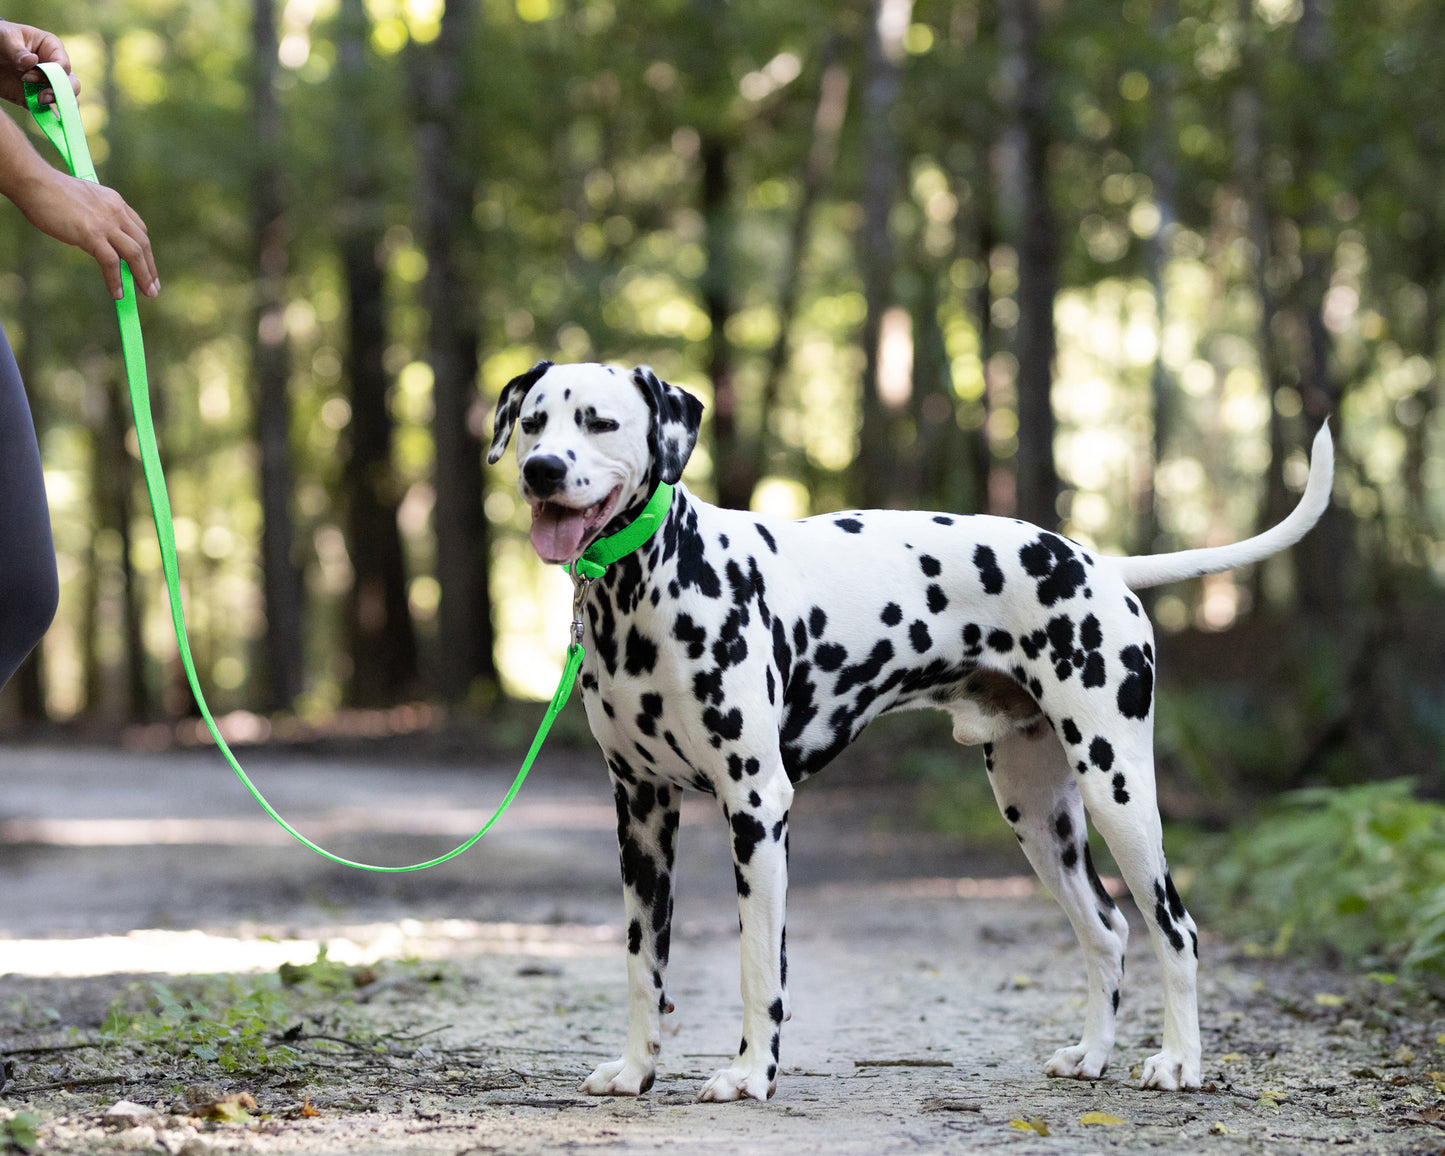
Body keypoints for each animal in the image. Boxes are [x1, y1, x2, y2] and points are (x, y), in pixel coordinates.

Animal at [485, 358, 1329, 1103]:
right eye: (533, 423)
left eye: (599, 421)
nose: (542, 470)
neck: (647, 590)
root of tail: (1099, 563)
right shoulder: (640, 814)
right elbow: (642, 963)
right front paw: (635, 1071)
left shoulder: (756, 807)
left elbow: (758, 963)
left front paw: (750, 1075)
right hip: (1038, 815)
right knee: (1107, 930)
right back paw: (1090, 1056)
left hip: (1117, 788)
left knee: (1174, 928)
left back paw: (1179, 1062)